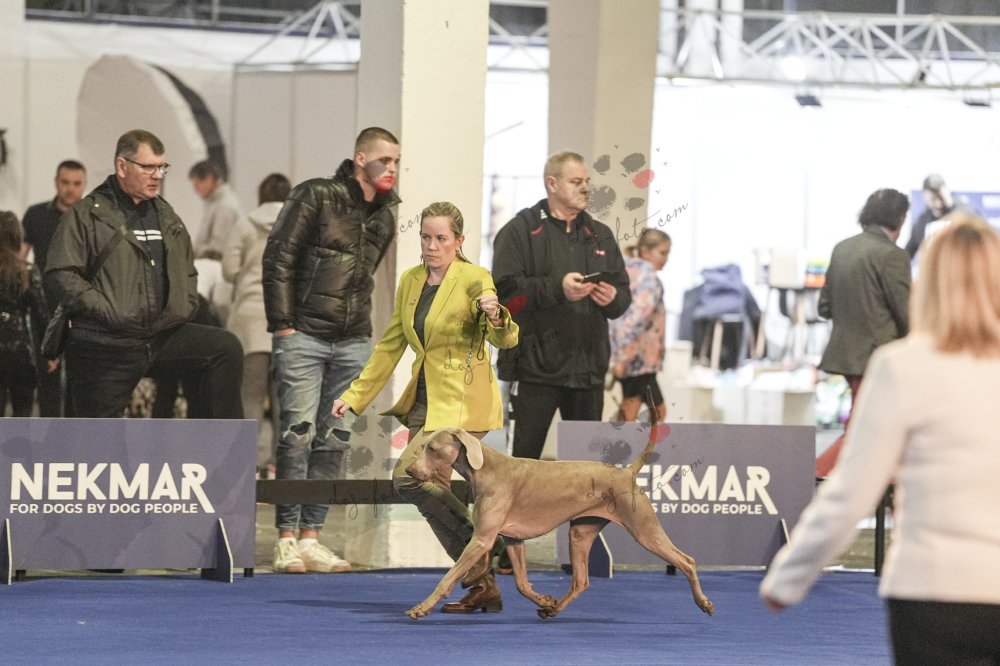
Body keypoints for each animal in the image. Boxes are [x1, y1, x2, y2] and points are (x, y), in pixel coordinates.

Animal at [403, 414, 715, 620]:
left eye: (432, 448)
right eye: (424, 447)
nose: (409, 471)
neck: (484, 468)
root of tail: (626, 472)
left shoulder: (482, 540)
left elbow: (448, 577)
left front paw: (422, 608)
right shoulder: (513, 539)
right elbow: (521, 583)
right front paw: (542, 598)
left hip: (644, 529)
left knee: (686, 560)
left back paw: (704, 603)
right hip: (580, 532)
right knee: (582, 581)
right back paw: (553, 609)